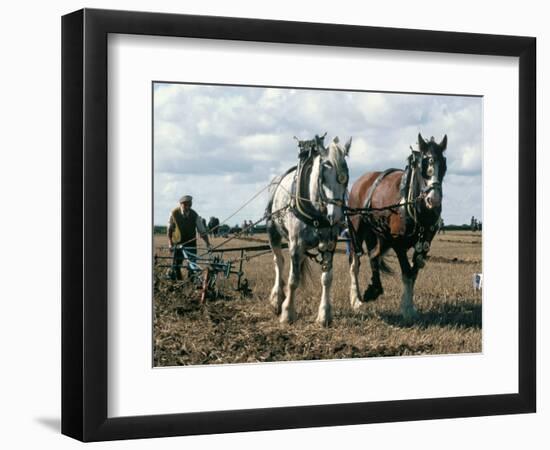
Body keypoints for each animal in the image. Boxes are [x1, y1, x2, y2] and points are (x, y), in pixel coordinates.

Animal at [268, 135, 354, 326]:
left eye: (346, 177)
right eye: (323, 176)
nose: (337, 217)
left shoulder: (329, 243)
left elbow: (327, 278)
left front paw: (324, 315)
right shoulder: (295, 244)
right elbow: (293, 280)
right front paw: (287, 313)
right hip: (274, 232)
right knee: (279, 262)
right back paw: (277, 298)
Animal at [350, 134, 448, 320]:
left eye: (444, 165)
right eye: (423, 164)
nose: (434, 200)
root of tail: (362, 180)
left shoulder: (424, 244)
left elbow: (413, 273)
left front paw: (408, 306)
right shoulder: (398, 243)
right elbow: (407, 273)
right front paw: (407, 309)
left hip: (381, 237)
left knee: (374, 256)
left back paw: (374, 289)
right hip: (357, 230)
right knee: (355, 263)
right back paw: (355, 299)